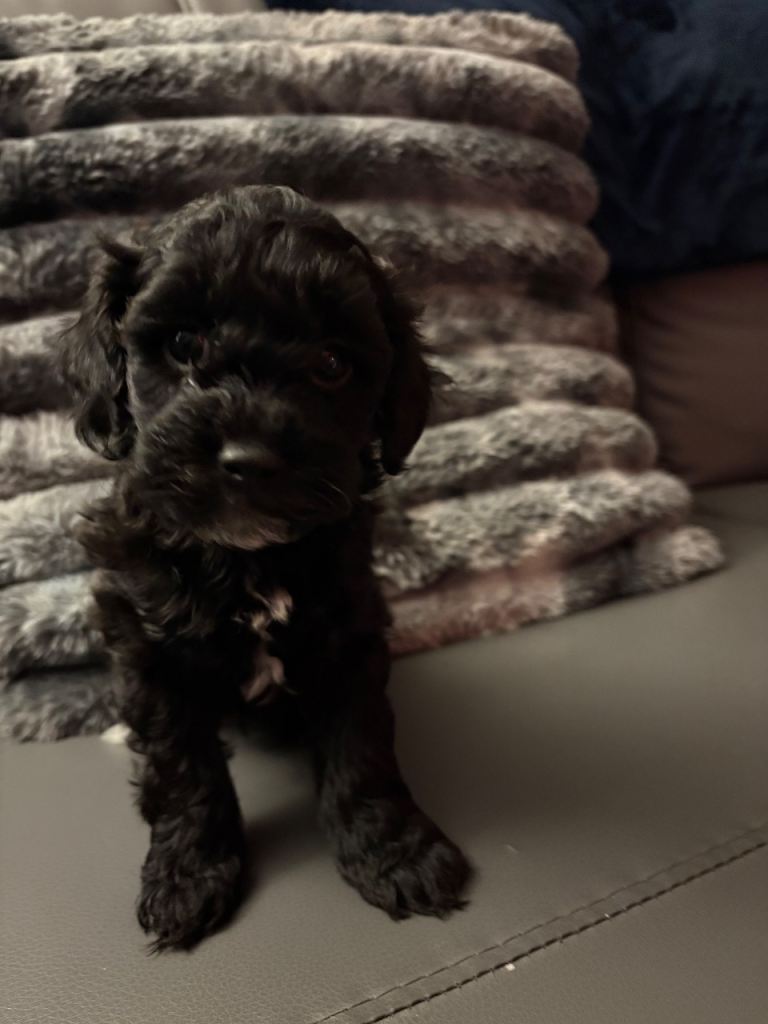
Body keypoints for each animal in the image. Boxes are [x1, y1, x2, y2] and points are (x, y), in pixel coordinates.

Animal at [62, 185, 471, 951]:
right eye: (184, 346)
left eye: (333, 364)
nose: (248, 459)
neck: (244, 557)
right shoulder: (146, 647)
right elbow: (180, 763)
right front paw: (188, 875)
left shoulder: (348, 633)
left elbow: (362, 746)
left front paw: (393, 852)